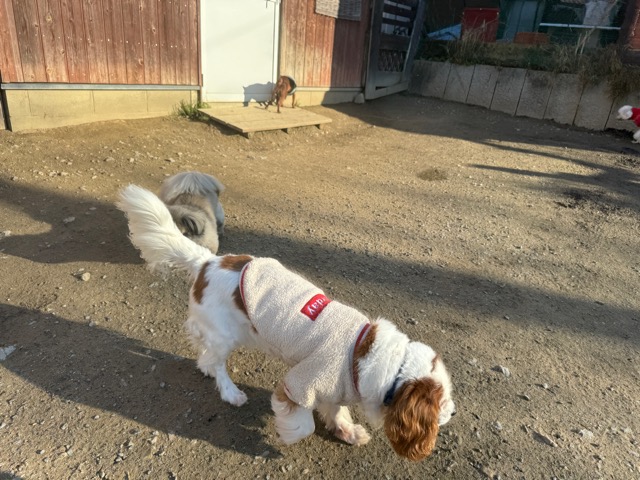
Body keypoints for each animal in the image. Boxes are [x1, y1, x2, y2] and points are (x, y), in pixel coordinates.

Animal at [117, 185, 455, 461]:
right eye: (441, 401)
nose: (453, 411)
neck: (367, 355)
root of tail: (208, 261)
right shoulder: (298, 385)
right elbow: (303, 424)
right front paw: (288, 434)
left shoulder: (336, 389)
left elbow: (337, 412)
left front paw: (347, 431)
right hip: (225, 336)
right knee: (218, 363)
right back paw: (231, 392)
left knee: (206, 356)